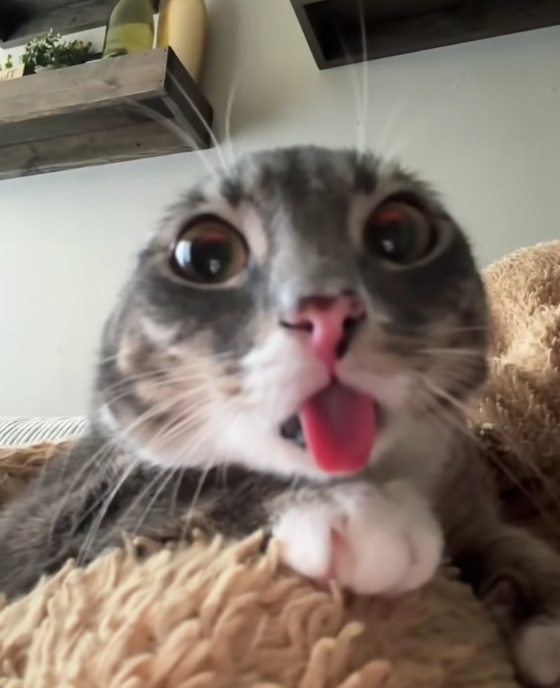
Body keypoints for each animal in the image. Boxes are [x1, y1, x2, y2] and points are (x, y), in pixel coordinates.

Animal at [1, 147, 560, 686]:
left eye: (398, 233)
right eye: (204, 256)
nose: (327, 313)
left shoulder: (465, 498)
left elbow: (519, 545)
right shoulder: (58, 520)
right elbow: (166, 490)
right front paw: (351, 507)